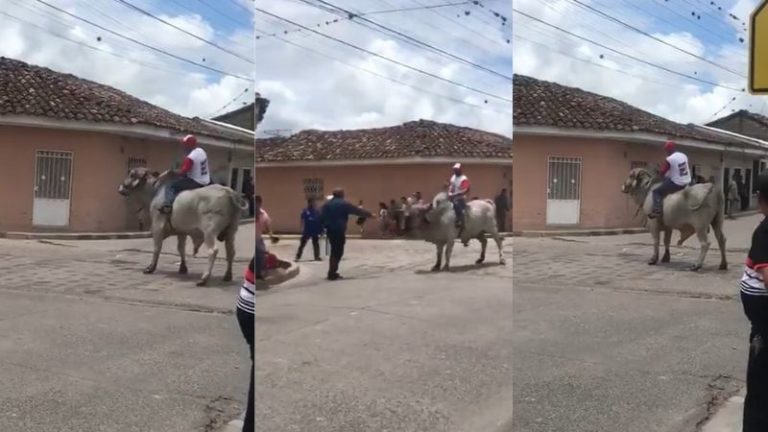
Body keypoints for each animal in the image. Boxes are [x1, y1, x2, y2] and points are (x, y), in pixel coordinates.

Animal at [117, 167, 246, 286]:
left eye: (131, 174)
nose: (120, 188)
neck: (155, 191)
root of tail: (228, 191)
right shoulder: (181, 232)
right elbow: (181, 249)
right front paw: (183, 268)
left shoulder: (157, 226)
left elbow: (157, 248)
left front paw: (150, 268)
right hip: (231, 231)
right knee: (230, 252)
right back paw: (227, 276)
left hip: (209, 231)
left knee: (212, 251)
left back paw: (204, 278)